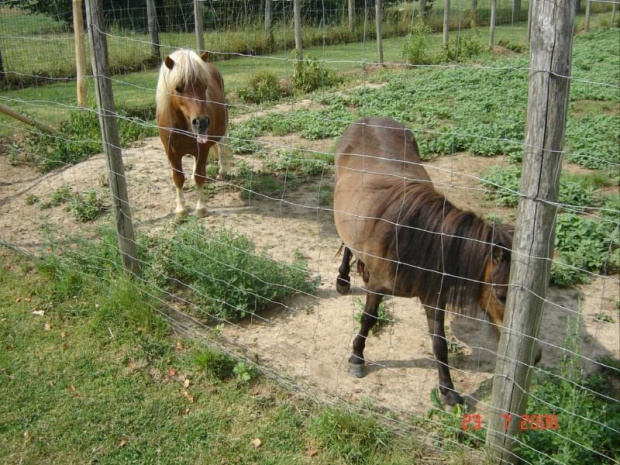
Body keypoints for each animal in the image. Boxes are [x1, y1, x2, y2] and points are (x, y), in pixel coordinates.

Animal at [156, 49, 231, 217]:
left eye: (205, 86)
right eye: (178, 87)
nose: (201, 122)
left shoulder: (202, 149)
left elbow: (200, 176)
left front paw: (201, 207)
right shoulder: (171, 152)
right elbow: (178, 178)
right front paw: (181, 209)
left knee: (222, 146)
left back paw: (223, 171)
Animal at [334, 117, 512, 406]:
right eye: (501, 295)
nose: (537, 357)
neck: (413, 240)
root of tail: (369, 119)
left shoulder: (434, 295)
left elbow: (439, 341)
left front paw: (448, 390)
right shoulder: (378, 286)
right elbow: (368, 318)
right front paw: (357, 357)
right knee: (347, 245)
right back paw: (342, 280)